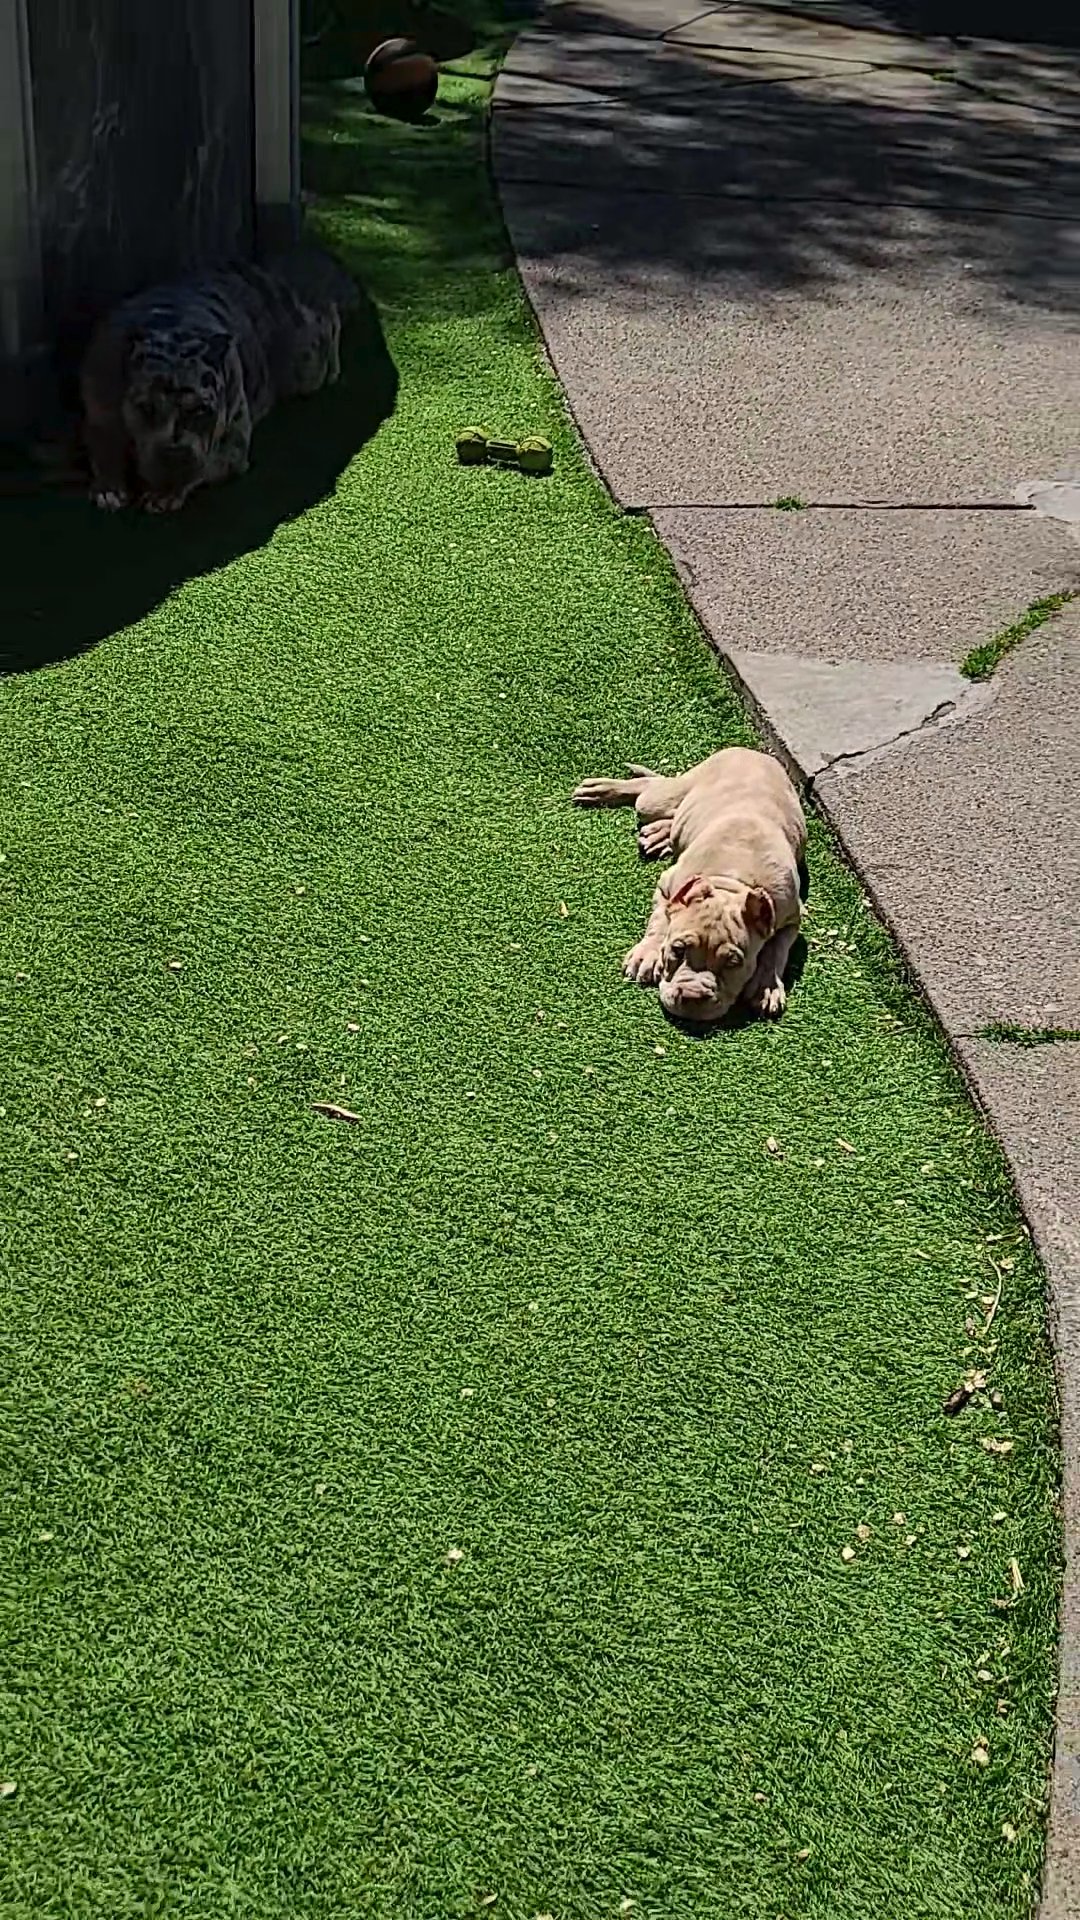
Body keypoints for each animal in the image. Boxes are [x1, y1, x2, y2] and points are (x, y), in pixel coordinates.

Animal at [568, 741, 803, 1029]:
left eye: (733, 962)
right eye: (677, 949)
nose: (692, 998)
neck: (732, 880)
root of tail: (752, 752)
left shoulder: (791, 915)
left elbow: (776, 950)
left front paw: (766, 985)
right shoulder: (667, 886)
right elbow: (659, 920)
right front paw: (648, 954)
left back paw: (659, 836)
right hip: (658, 799)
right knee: (649, 787)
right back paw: (602, 790)